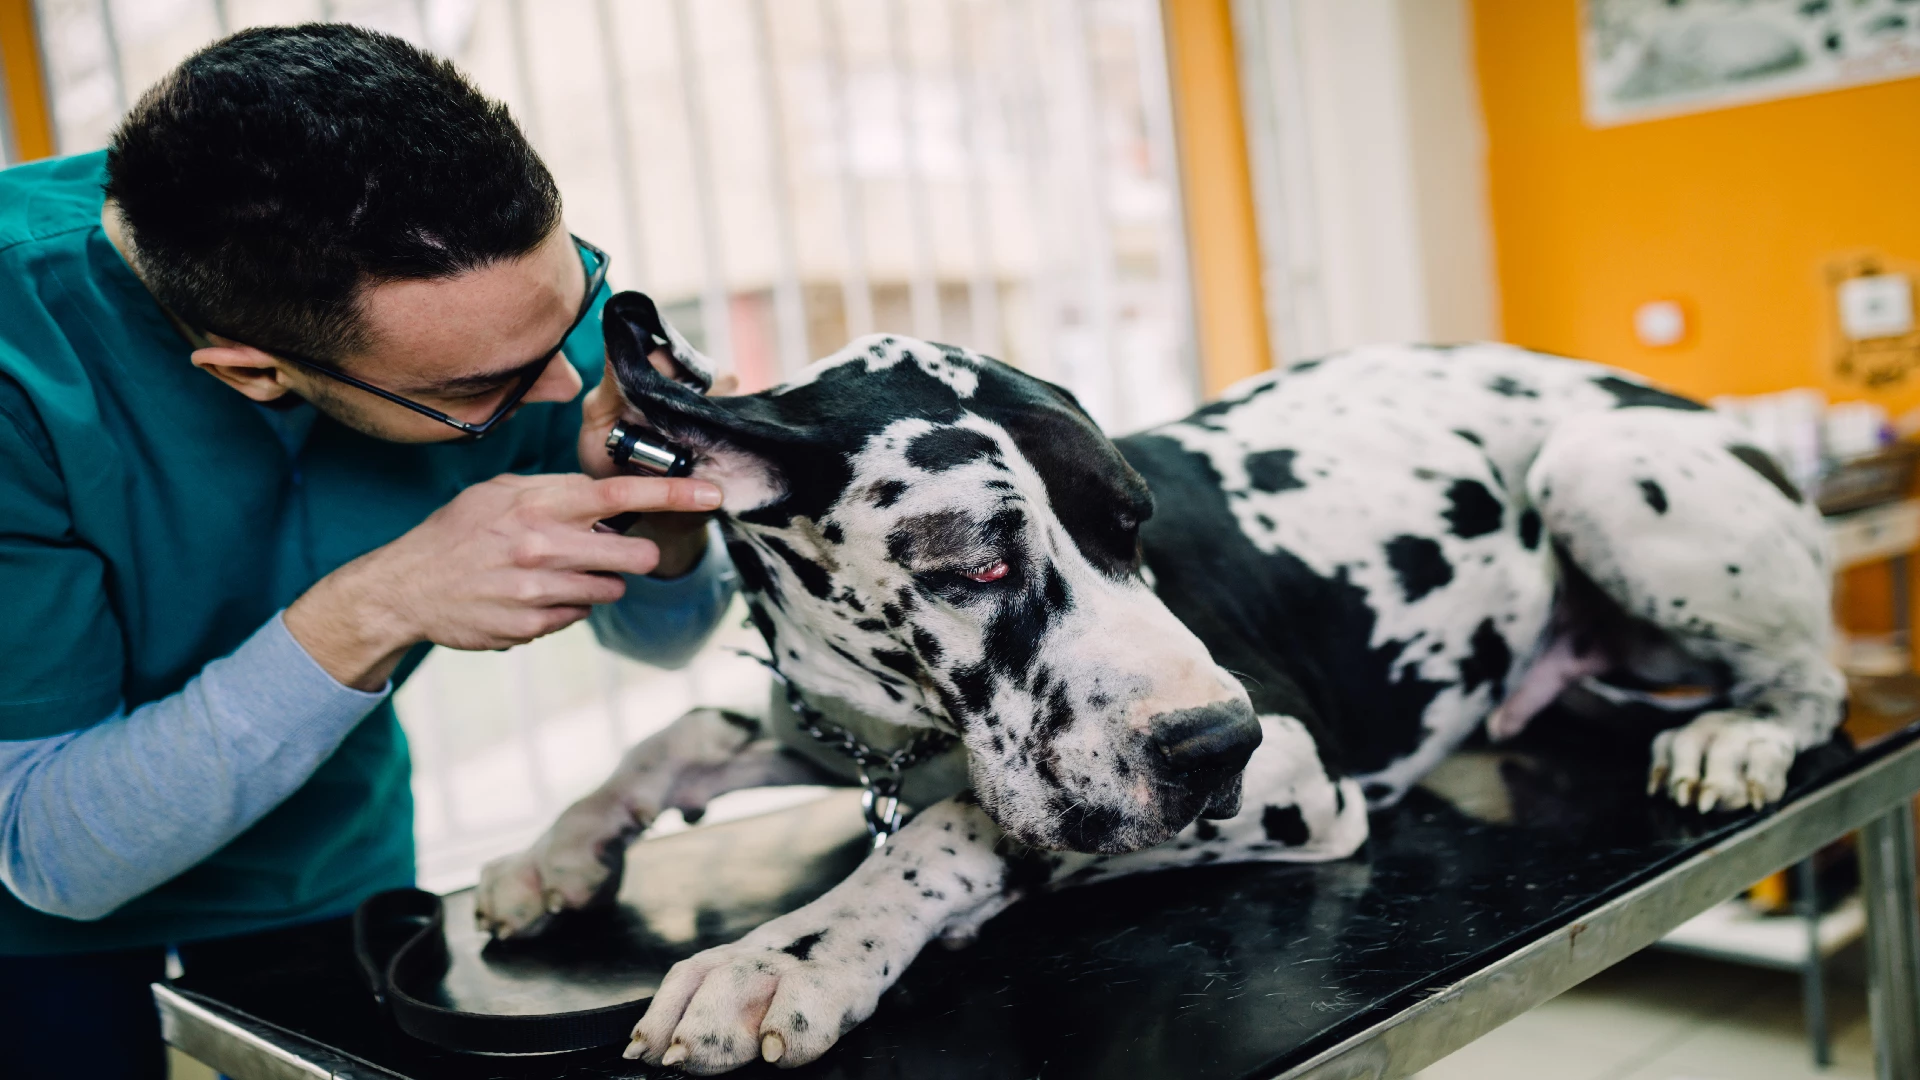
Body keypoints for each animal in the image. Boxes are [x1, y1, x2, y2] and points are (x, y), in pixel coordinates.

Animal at [472, 292, 1835, 1068]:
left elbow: (957, 830)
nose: (1212, 745)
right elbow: (676, 739)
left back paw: (1739, 736)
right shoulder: (823, 722)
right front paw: (556, 850)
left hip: (1601, 467)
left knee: (1811, 677)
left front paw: (794, 952)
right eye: (973, 564)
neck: (891, 722)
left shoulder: (1299, 775)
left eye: (1134, 521)